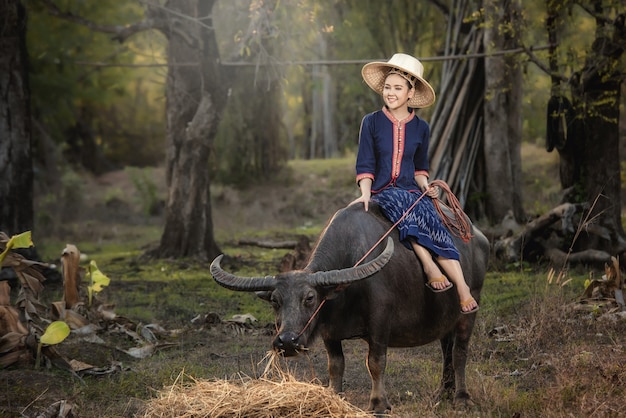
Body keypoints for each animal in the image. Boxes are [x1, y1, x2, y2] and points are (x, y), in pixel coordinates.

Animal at [210, 201, 488, 414]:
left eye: (310, 298)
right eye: (275, 301)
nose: (287, 342)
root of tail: (477, 238)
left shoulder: (380, 324)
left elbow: (375, 362)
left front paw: (378, 404)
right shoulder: (330, 333)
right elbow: (335, 365)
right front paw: (334, 395)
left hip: (469, 308)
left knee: (460, 352)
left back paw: (462, 398)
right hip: (446, 319)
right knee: (446, 350)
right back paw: (443, 392)